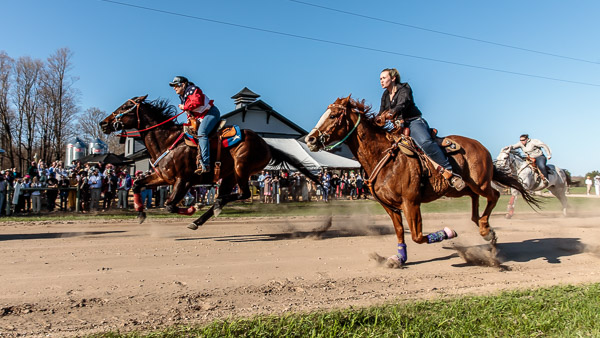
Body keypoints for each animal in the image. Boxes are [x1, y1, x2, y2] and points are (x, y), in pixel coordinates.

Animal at [101, 95, 322, 230]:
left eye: (125, 107)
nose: (103, 123)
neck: (167, 140)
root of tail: (266, 144)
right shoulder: (163, 177)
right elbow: (138, 184)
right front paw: (140, 214)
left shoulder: (183, 181)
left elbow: (169, 205)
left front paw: (192, 208)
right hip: (229, 176)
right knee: (229, 194)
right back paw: (204, 215)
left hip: (241, 169)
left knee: (243, 194)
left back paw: (212, 206)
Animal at [304, 96, 540, 268]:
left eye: (334, 115)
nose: (310, 139)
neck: (385, 156)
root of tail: (482, 147)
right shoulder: (389, 206)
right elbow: (401, 232)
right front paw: (399, 259)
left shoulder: (411, 202)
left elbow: (417, 236)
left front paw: (449, 232)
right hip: (459, 188)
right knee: (475, 200)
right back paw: (483, 226)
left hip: (480, 182)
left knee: (494, 195)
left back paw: (485, 230)